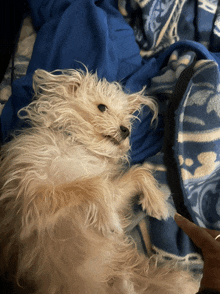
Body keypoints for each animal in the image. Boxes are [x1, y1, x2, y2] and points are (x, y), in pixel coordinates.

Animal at [0, 68, 199, 292]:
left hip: (177, 282)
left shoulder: (113, 195)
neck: (80, 146)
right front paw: (111, 221)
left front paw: (157, 203)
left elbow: (139, 172)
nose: (126, 130)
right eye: (102, 107)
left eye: (125, 117)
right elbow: (94, 184)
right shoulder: (32, 203)